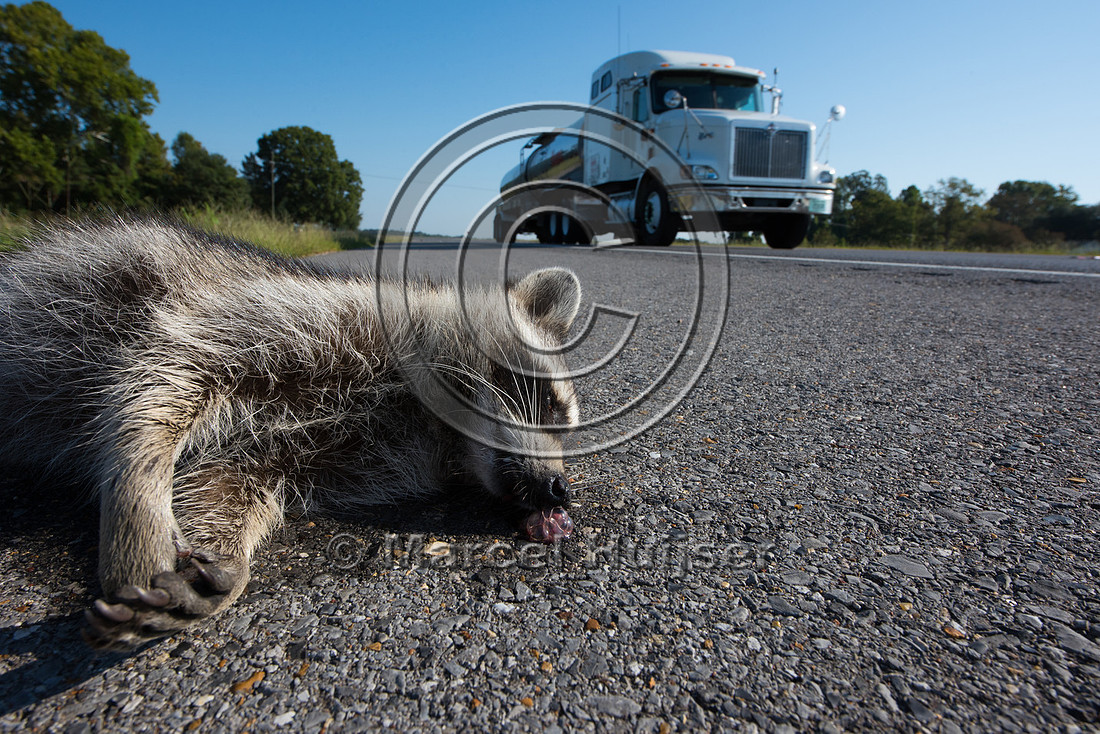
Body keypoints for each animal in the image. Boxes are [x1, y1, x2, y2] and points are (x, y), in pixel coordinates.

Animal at [0, 218, 582, 649]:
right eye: (551, 406)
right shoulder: (312, 315)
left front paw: (222, 561)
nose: (560, 491)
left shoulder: (343, 452)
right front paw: (137, 494)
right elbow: (167, 370)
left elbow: (225, 481)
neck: (437, 428)